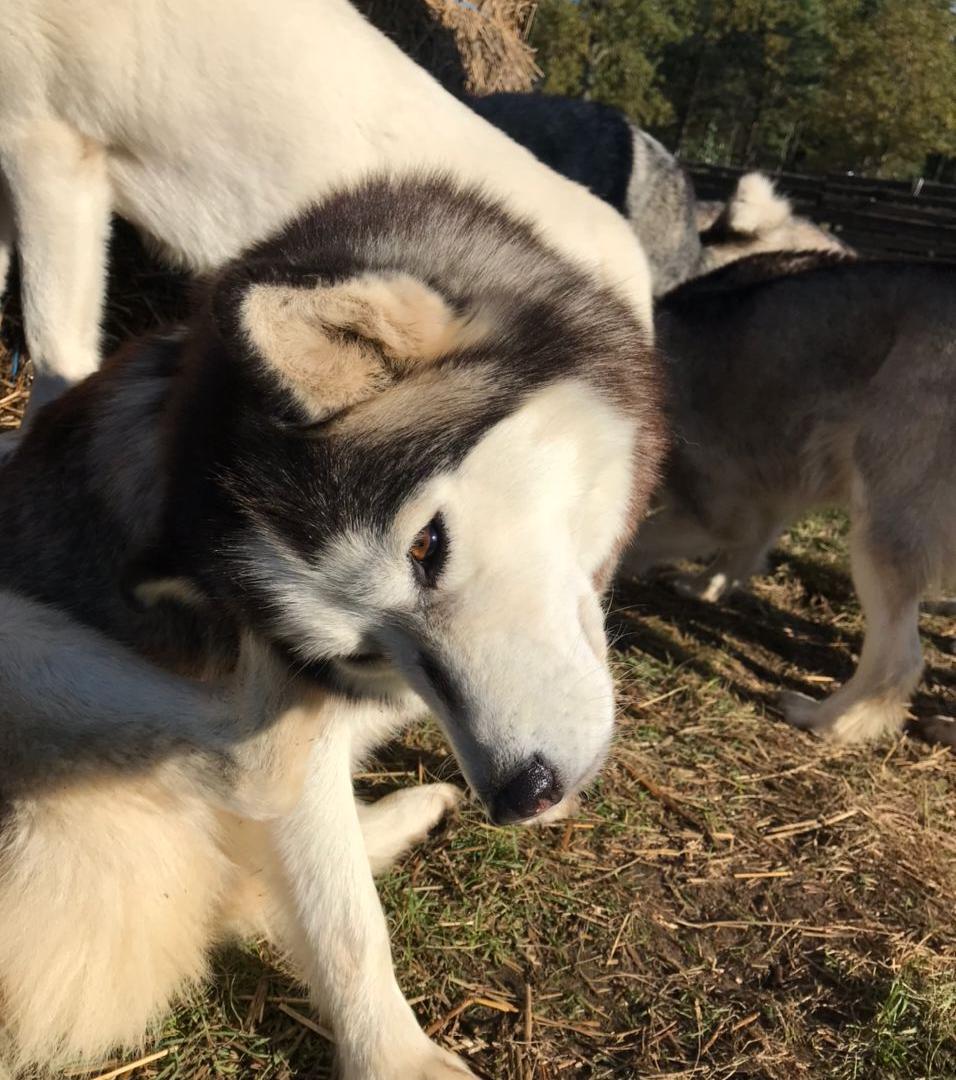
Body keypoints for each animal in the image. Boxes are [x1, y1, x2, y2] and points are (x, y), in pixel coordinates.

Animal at [0, 177, 665, 1080]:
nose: (520, 795)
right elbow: (345, 925)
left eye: (427, 546)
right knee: (254, 770)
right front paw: (399, 1060)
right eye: (365, 647)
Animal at [622, 250, 950, 743]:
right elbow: (743, 553)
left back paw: (828, 720)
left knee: (899, 663)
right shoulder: (766, 502)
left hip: (878, 533)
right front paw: (707, 587)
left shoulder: (718, 513)